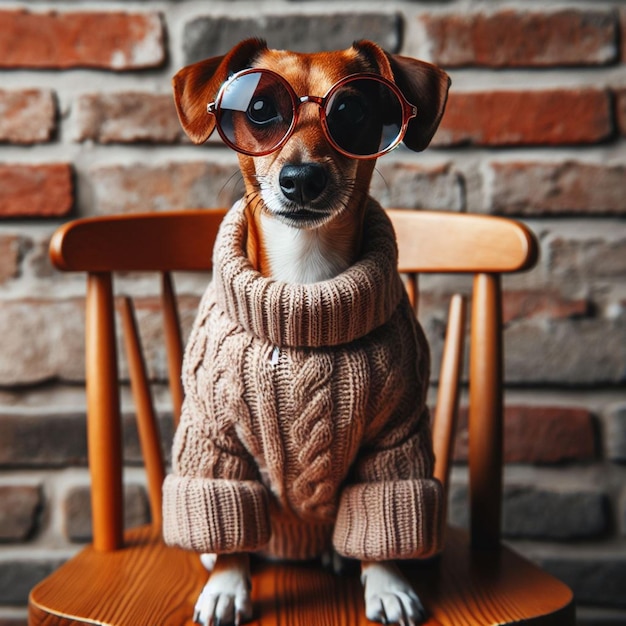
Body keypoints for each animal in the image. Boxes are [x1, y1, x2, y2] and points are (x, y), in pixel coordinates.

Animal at [161, 40, 448, 624]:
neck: (305, 287)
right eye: (259, 110)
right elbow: (227, 516)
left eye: (353, 112)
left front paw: (387, 583)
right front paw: (228, 584)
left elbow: (383, 515)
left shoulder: (395, 435)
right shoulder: (214, 434)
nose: (301, 178)